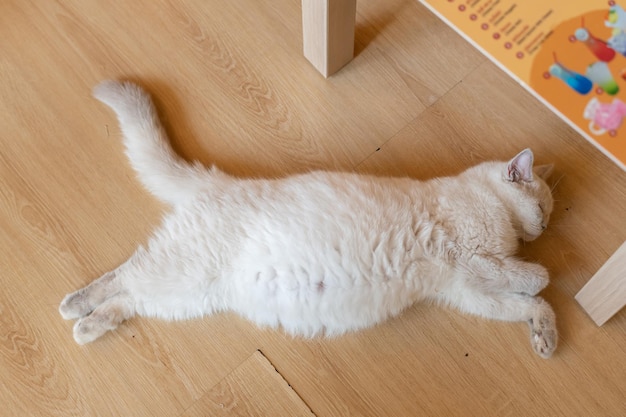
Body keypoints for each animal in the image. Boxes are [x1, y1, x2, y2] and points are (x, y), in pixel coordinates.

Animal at [58, 81, 556, 358]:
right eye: (544, 209)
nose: (547, 227)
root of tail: (219, 183)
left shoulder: (469, 291)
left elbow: (528, 305)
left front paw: (544, 337)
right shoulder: (468, 256)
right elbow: (535, 278)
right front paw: (540, 275)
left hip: (190, 295)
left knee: (130, 299)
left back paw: (87, 326)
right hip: (182, 269)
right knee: (124, 275)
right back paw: (74, 306)